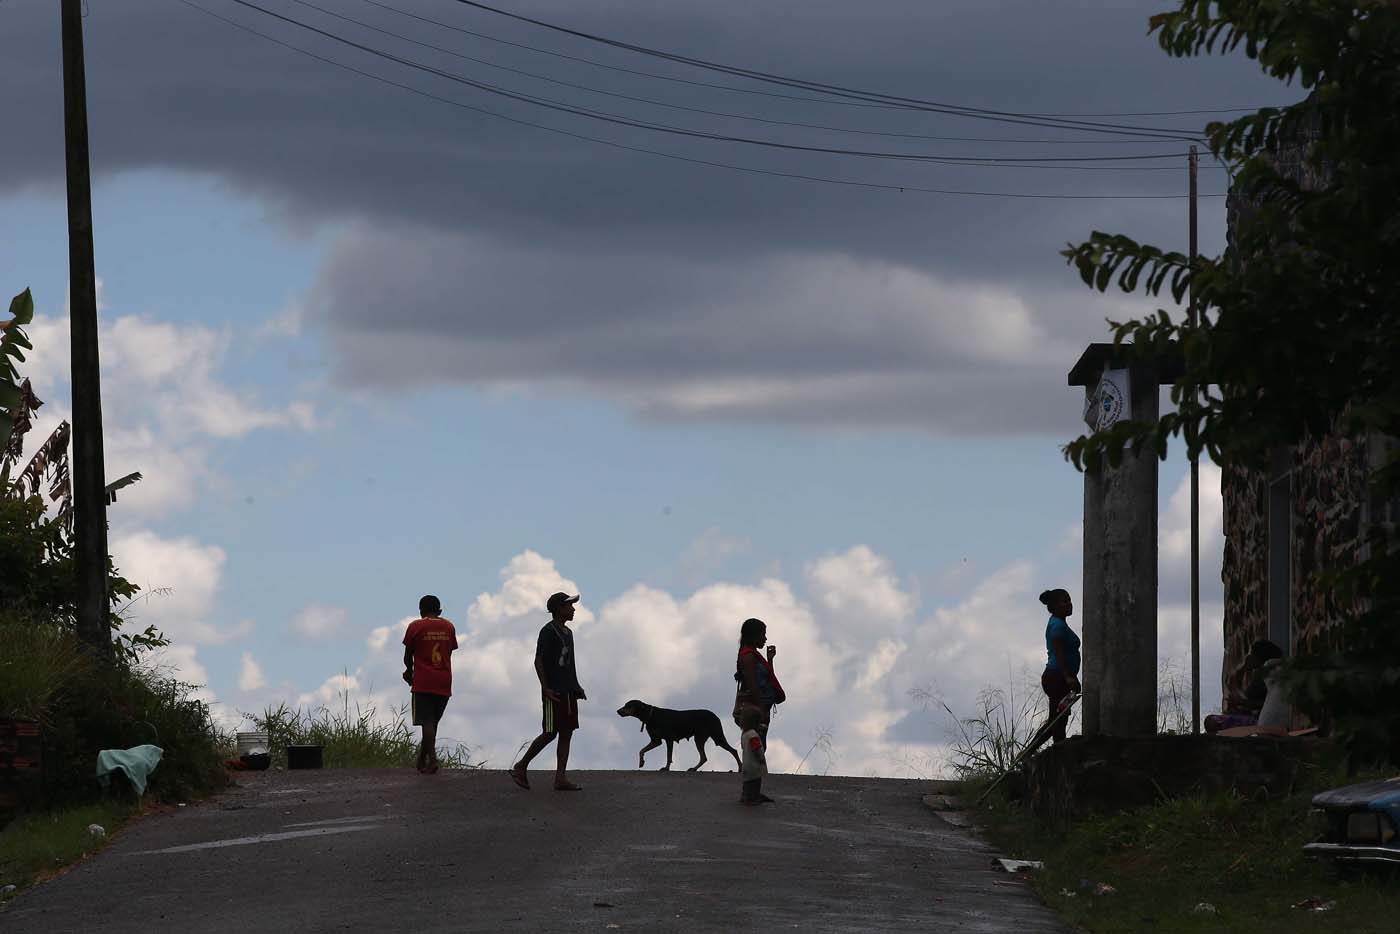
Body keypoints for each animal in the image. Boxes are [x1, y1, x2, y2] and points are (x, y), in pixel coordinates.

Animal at [616, 697, 744, 772]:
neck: (650, 715)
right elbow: (641, 750)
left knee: (733, 751)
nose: (618, 711)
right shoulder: (656, 741)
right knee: (704, 757)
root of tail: (715, 716)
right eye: (625, 705)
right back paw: (694, 768)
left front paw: (666, 768)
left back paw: (740, 767)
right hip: (702, 738)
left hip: (714, 736)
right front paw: (641, 762)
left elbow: (669, 756)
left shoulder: (669, 739)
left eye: (629, 706)